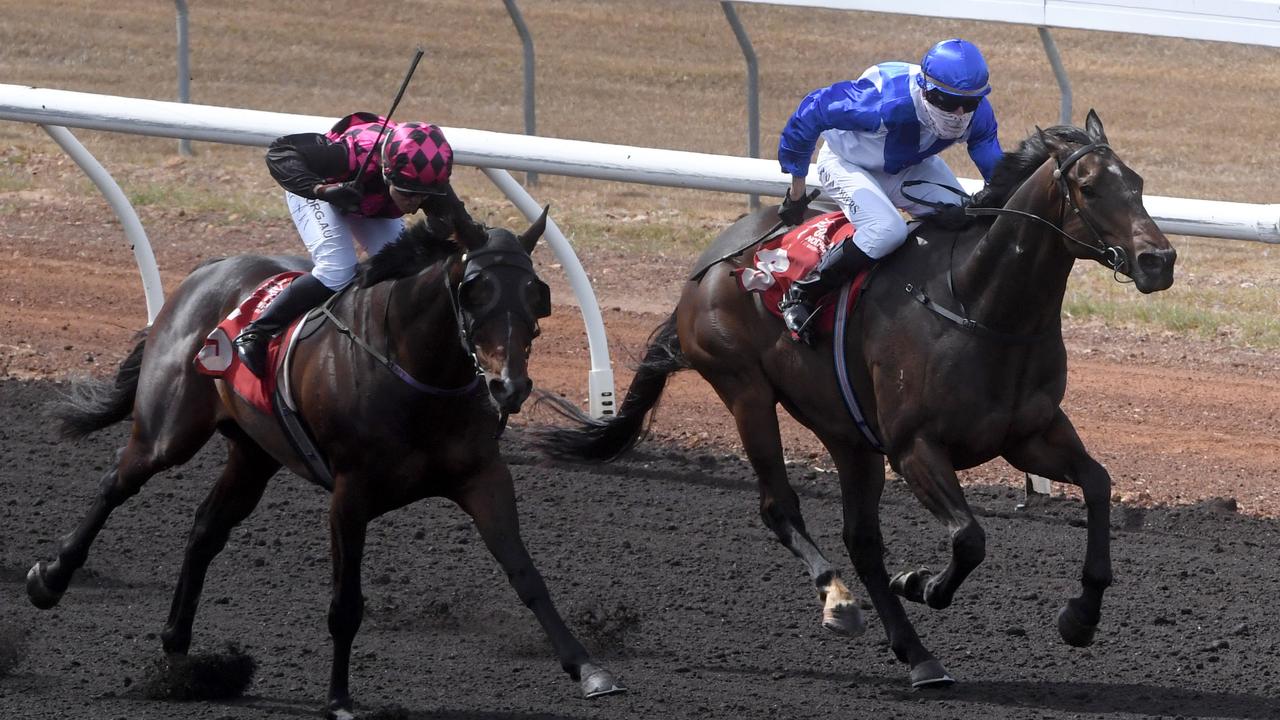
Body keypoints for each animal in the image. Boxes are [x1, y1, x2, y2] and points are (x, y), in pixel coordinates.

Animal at [27, 207, 627, 712]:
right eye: (475, 289)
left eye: (536, 292)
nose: (510, 386)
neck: (416, 369)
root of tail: (206, 270)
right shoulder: (350, 492)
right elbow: (346, 603)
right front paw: (339, 698)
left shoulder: (483, 477)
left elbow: (526, 575)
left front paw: (589, 669)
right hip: (168, 432)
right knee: (117, 481)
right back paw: (50, 579)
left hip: (253, 454)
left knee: (205, 529)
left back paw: (179, 654)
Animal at [535, 110, 1172, 681]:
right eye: (1089, 187)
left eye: (1139, 182)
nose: (1158, 260)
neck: (978, 305)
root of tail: (707, 266)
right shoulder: (914, 447)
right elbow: (969, 538)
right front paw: (922, 584)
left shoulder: (1029, 435)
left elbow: (1098, 484)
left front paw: (1080, 617)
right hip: (746, 392)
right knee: (780, 507)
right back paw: (839, 600)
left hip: (849, 435)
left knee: (861, 539)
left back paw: (918, 656)